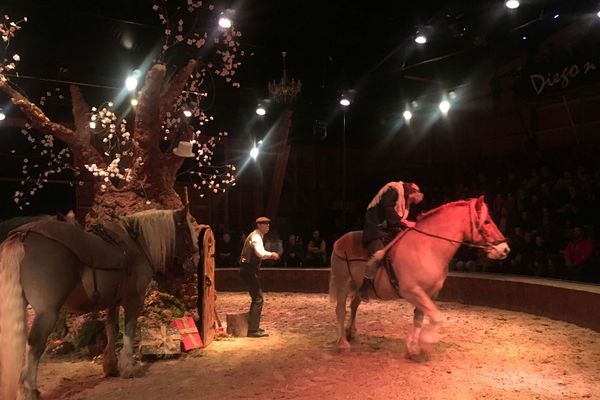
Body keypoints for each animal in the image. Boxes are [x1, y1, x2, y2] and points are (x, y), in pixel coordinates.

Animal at [0, 206, 202, 400]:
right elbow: (129, 330)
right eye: (187, 230)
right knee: (35, 344)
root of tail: (23, 235)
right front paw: (129, 367)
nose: (196, 261)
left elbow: (112, 329)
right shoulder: (134, 299)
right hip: (47, 312)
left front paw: (111, 367)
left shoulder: (113, 302)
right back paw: (29, 390)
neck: (137, 244)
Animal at [330, 196, 508, 360]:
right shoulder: (412, 292)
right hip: (343, 283)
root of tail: (339, 241)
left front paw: (413, 348)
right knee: (341, 310)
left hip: (358, 285)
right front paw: (426, 341)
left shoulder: (429, 293)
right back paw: (342, 343)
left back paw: (351, 332)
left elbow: (419, 319)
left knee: (354, 305)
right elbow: (436, 317)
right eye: (486, 221)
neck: (427, 247)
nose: (505, 249)